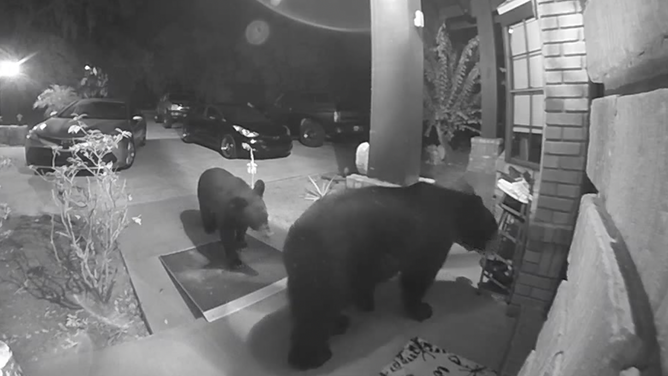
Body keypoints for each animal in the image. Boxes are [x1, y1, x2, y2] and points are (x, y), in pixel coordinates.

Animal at [284, 182, 498, 370]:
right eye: (493, 225)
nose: (495, 240)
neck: (452, 210)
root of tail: (296, 236)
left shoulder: (366, 259)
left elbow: (365, 283)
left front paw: (366, 303)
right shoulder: (427, 246)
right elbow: (417, 280)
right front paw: (421, 310)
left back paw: (338, 323)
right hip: (326, 265)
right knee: (316, 311)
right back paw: (313, 356)